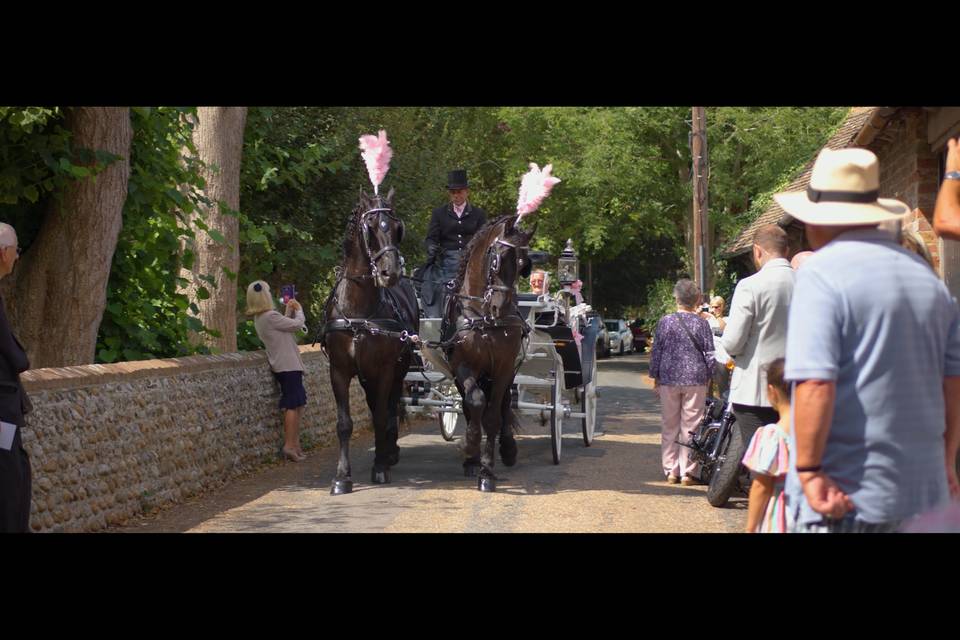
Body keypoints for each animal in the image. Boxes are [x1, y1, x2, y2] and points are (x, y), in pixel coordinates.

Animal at [320, 188, 418, 498]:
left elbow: (380, 416)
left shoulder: (384, 370)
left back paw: (389, 452)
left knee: (388, 407)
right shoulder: (339, 371)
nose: (390, 273)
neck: (358, 313)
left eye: (397, 228)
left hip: (398, 369)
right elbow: (344, 424)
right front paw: (342, 477)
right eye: (370, 228)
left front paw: (380, 467)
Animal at [444, 214, 536, 490]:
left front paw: (487, 471)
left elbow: (494, 415)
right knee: (469, 406)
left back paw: (507, 449)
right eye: (496, 259)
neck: (483, 318)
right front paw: (470, 447)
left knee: (504, 403)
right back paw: (471, 459)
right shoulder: (462, 365)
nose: (499, 308)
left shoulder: (505, 367)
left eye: (523, 264)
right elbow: (475, 402)